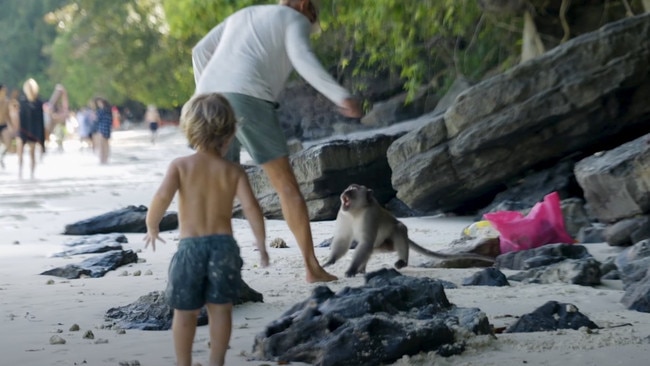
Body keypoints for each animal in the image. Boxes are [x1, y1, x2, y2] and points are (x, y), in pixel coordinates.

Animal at [322, 184, 494, 276]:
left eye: (354, 188)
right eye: (349, 187)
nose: (346, 191)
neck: (356, 212)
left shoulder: (369, 216)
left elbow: (365, 242)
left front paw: (351, 269)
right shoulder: (342, 214)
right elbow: (344, 240)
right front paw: (330, 261)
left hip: (389, 244)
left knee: (398, 229)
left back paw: (402, 261)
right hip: (381, 247)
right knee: (369, 250)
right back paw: (362, 269)